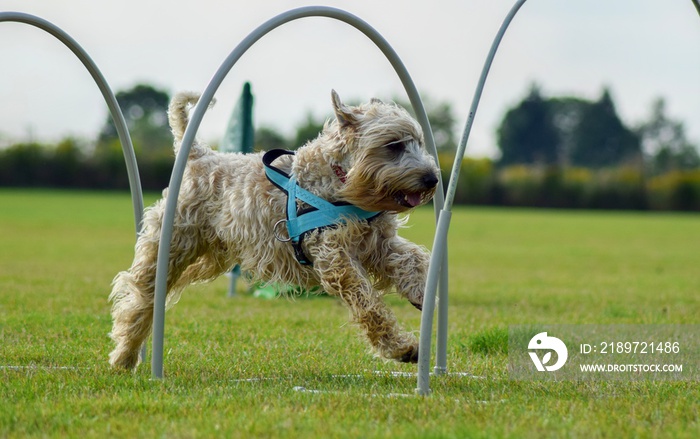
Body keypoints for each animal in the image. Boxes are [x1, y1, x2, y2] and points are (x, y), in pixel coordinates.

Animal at [108, 90, 438, 372]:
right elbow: (369, 305)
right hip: (169, 248)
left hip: (209, 257)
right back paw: (124, 356)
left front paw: (424, 294)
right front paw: (401, 347)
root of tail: (200, 155)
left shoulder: (378, 244)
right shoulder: (335, 256)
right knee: (138, 300)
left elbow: (412, 261)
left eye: (419, 143)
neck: (341, 180)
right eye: (394, 145)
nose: (432, 178)